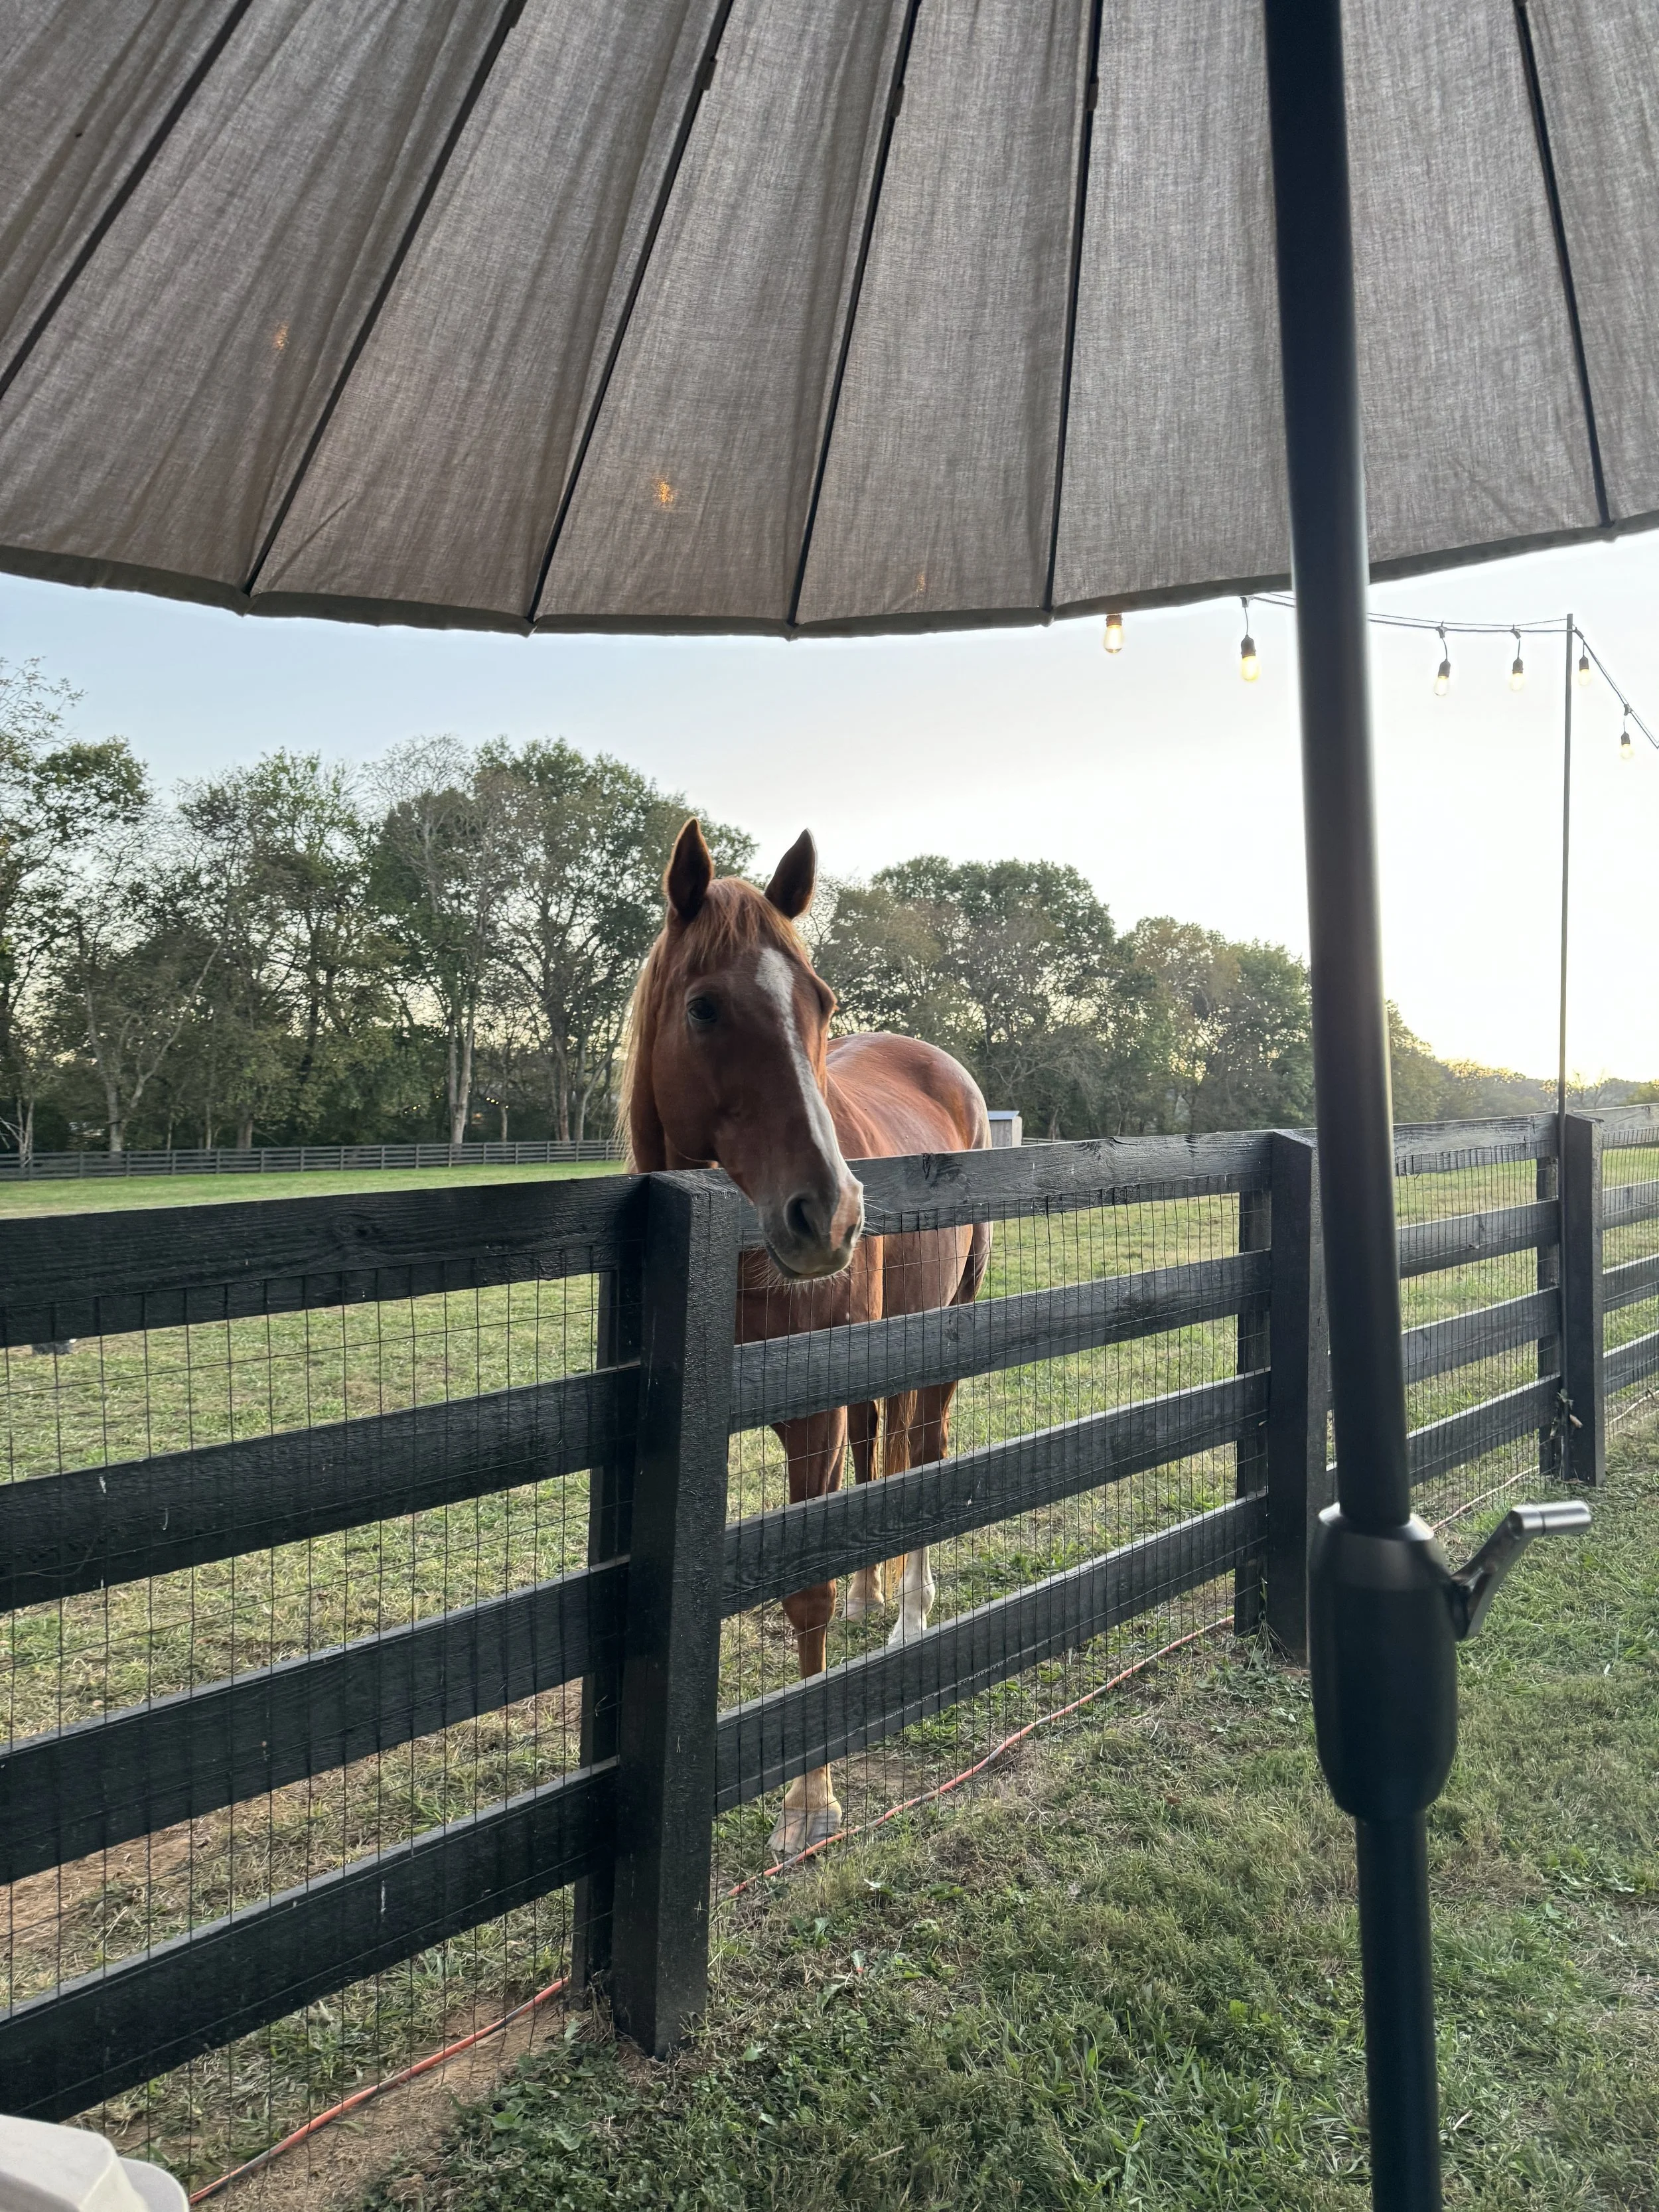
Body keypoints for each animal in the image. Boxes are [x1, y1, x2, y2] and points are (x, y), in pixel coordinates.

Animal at [624, 818, 990, 1857]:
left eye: (820, 1002)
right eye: (705, 1008)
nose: (831, 1216)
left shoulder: (810, 1417)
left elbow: (805, 1593)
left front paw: (808, 1798)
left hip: (944, 1327)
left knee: (924, 1450)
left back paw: (909, 1614)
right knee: (880, 1449)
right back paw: (877, 1594)